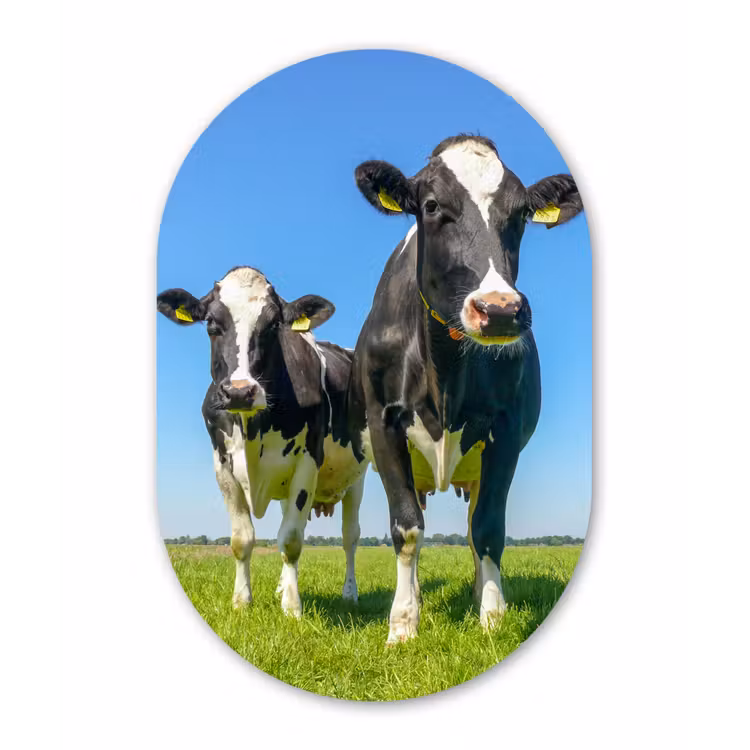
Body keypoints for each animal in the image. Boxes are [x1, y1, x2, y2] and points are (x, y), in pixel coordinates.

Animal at [157, 266, 368, 616]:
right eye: (211, 323)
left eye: (273, 325)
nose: (240, 391)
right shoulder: (223, 466)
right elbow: (242, 539)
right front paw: (242, 601)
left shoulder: (307, 461)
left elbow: (292, 538)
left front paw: (292, 608)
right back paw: (282, 586)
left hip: (358, 477)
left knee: (350, 537)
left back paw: (349, 593)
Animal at [348, 134, 584, 644]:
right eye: (432, 205)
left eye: (520, 214)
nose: (498, 311)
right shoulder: (384, 424)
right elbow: (406, 529)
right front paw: (403, 623)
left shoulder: (506, 431)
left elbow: (489, 528)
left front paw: (492, 617)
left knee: (477, 525)